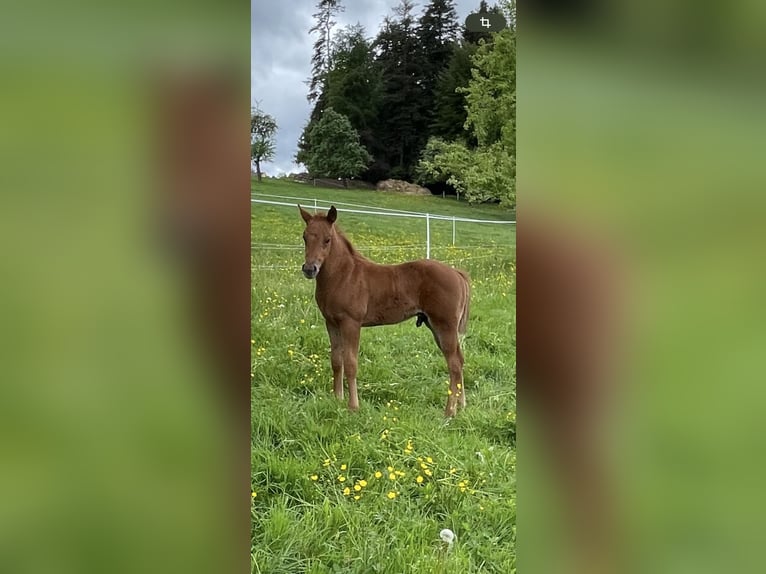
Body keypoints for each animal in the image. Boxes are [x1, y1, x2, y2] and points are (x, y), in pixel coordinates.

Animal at [298, 205, 471, 417]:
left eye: (327, 239)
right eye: (305, 237)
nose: (309, 269)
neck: (344, 275)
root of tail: (457, 273)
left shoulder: (351, 323)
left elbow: (350, 363)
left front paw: (353, 406)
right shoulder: (331, 322)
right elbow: (336, 361)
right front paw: (337, 399)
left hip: (444, 326)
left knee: (454, 364)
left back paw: (449, 412)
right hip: (436, 327)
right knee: (459, 360)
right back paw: (461, 405)